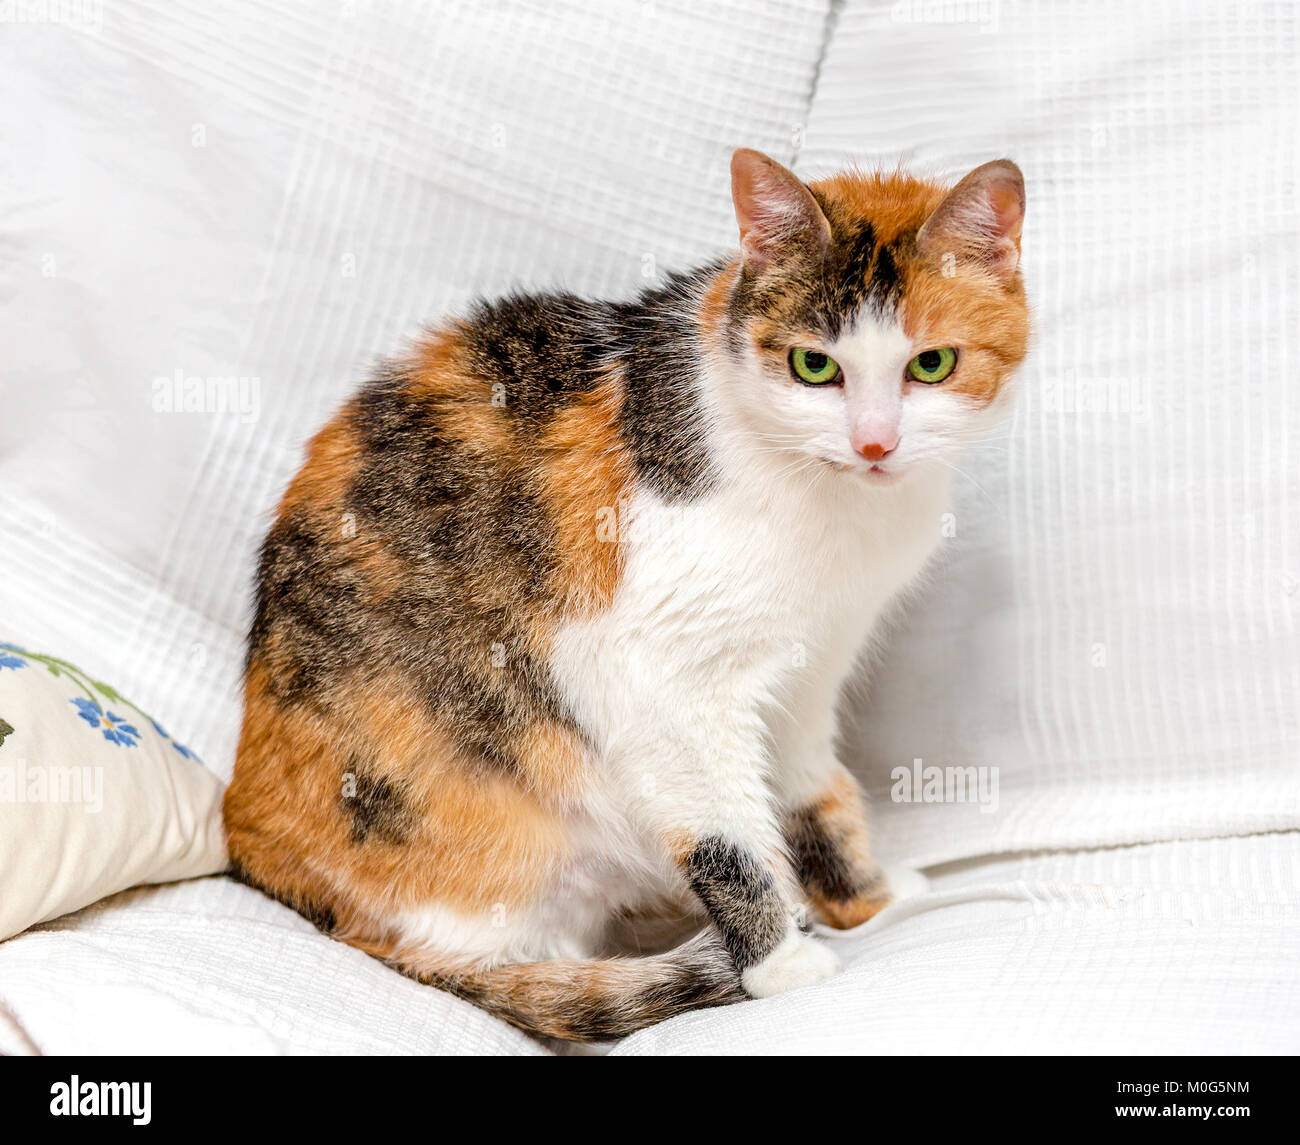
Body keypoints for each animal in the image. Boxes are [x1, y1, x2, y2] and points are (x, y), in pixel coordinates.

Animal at [228, 147, 1029, 1039]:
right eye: (815, 366)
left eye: (932, 363)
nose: (875, 443)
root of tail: (255, 849)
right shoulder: (655, 676)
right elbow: (727, 838)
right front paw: (781, 960)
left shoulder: (812, 663)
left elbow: (815, 790)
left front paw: (868, 900)